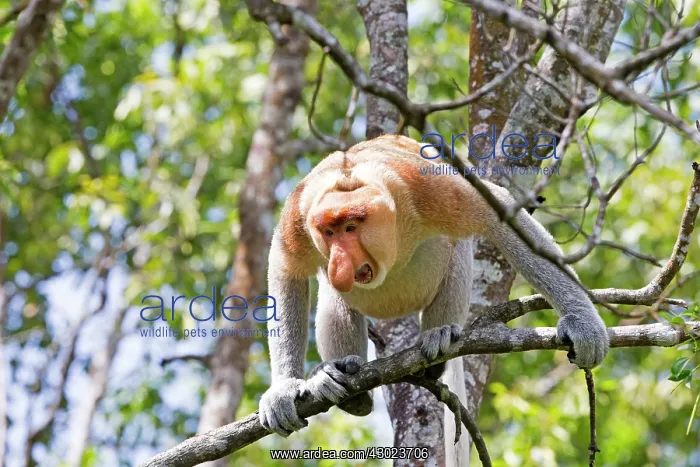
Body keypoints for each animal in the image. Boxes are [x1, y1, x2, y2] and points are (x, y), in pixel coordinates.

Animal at [258, 134, 609, 441]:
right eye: (329, 232)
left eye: (350, 227)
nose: (339, 264)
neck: (351, 179)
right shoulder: (299, 215)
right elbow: (285, 267)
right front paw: (283, 390)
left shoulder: (427, 188)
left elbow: (500, 213)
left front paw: (584, 326)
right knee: (336, 298)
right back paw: (341, 379)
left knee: (458, 249)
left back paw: (437, 342)